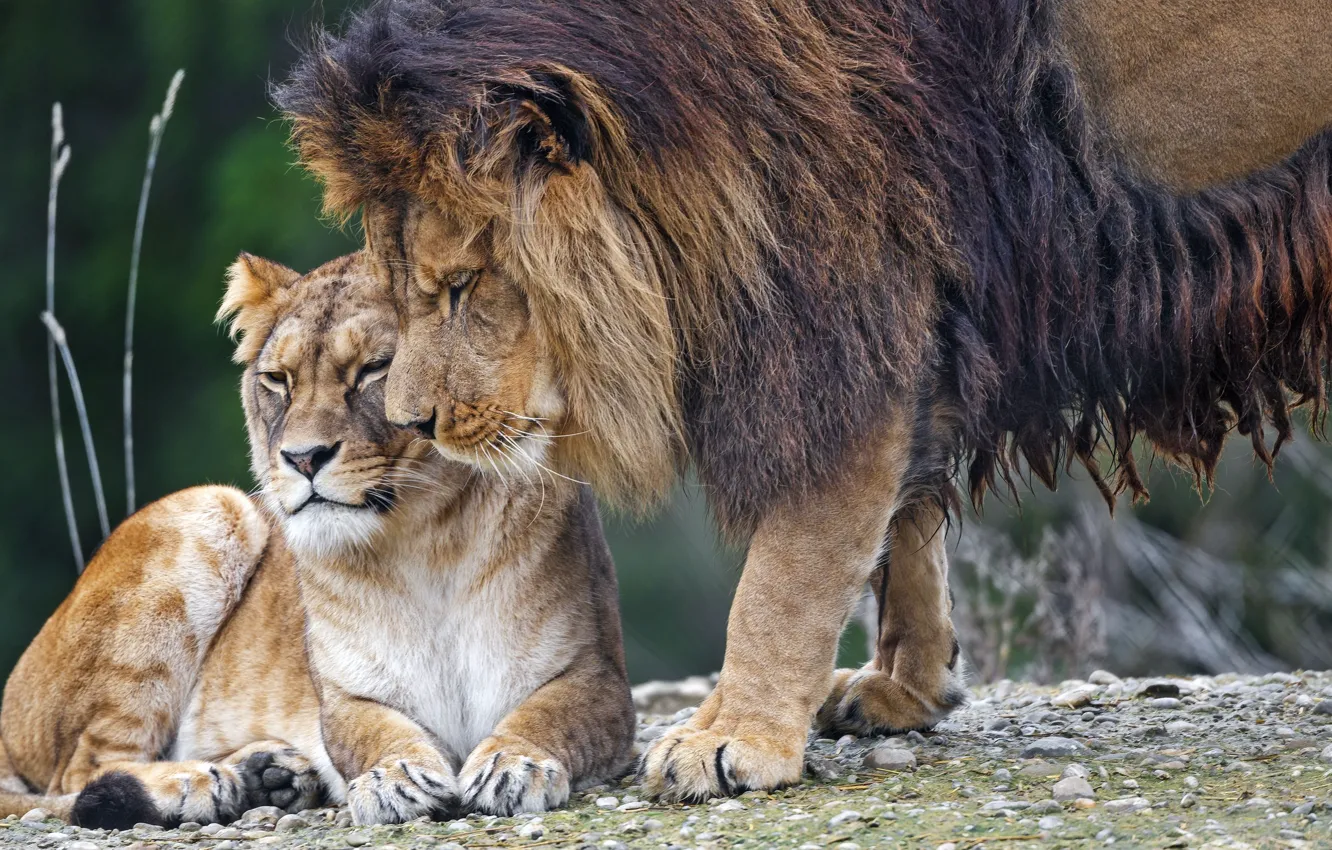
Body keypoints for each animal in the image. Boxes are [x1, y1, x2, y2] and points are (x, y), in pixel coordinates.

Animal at [0, 251, 634, 827]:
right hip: (213, 506)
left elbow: (549, 717)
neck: (430, 540)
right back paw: (205, 784)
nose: (303, 458)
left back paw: (266, 776)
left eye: (376, 368)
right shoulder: (345, 696)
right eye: (277, 380)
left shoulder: (595, 674)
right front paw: (395, 778)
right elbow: (375, 732)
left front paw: (512, 764)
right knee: (80, 775)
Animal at [275, 0, 1332, 801]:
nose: (414, 422)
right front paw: (911, 688)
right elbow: (903, 530)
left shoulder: (837, 295)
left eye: (460, 286)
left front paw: (727, 737)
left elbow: (788, 571)